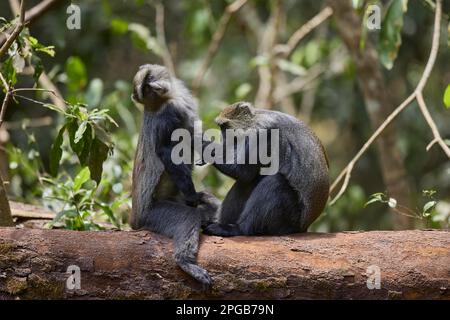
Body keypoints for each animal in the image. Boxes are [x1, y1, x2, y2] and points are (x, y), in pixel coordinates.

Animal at [130, 63, 220, 286]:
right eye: (146, 87)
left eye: (148, 81)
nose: (154, 86)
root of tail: (136, 221)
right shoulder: (170, 114)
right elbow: (167, 152)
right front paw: (193, 196)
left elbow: (195, 134)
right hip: (155, 214)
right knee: (188, 216)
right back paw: (185, 261)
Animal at [202, 101, 328, 236]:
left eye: (224, 127)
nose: (223, 138)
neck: (254, 119)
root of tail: (303, 227)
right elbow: (246, 177)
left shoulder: (263, 132)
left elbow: (243, 173)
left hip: (291, 220)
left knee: (275, 182)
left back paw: (238, 229)